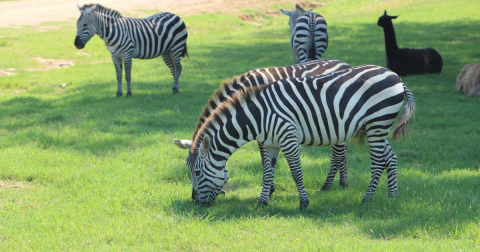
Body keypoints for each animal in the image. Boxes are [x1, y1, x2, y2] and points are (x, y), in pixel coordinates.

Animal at [174, 59, 350, 203]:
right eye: (188, 168)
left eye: (197, 172)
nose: (194, 200)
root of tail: (343, 63)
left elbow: (264, 160)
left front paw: (270, 189)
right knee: (344, 151)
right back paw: (343, 183)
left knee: (338, 153)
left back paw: (328, 185)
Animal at [186, 64, 414, 209]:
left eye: (196, 172)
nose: (195, 202)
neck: (258, 115)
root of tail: (395, 76)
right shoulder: (270, 144)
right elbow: (267, 173)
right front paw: (262, 203)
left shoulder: (288, 137)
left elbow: (296, 172)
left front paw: (303, 203)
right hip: (375, 127)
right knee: (390, 158)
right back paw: (392, 196)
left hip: (377, 123)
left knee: (377, 163)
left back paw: (366, 200)